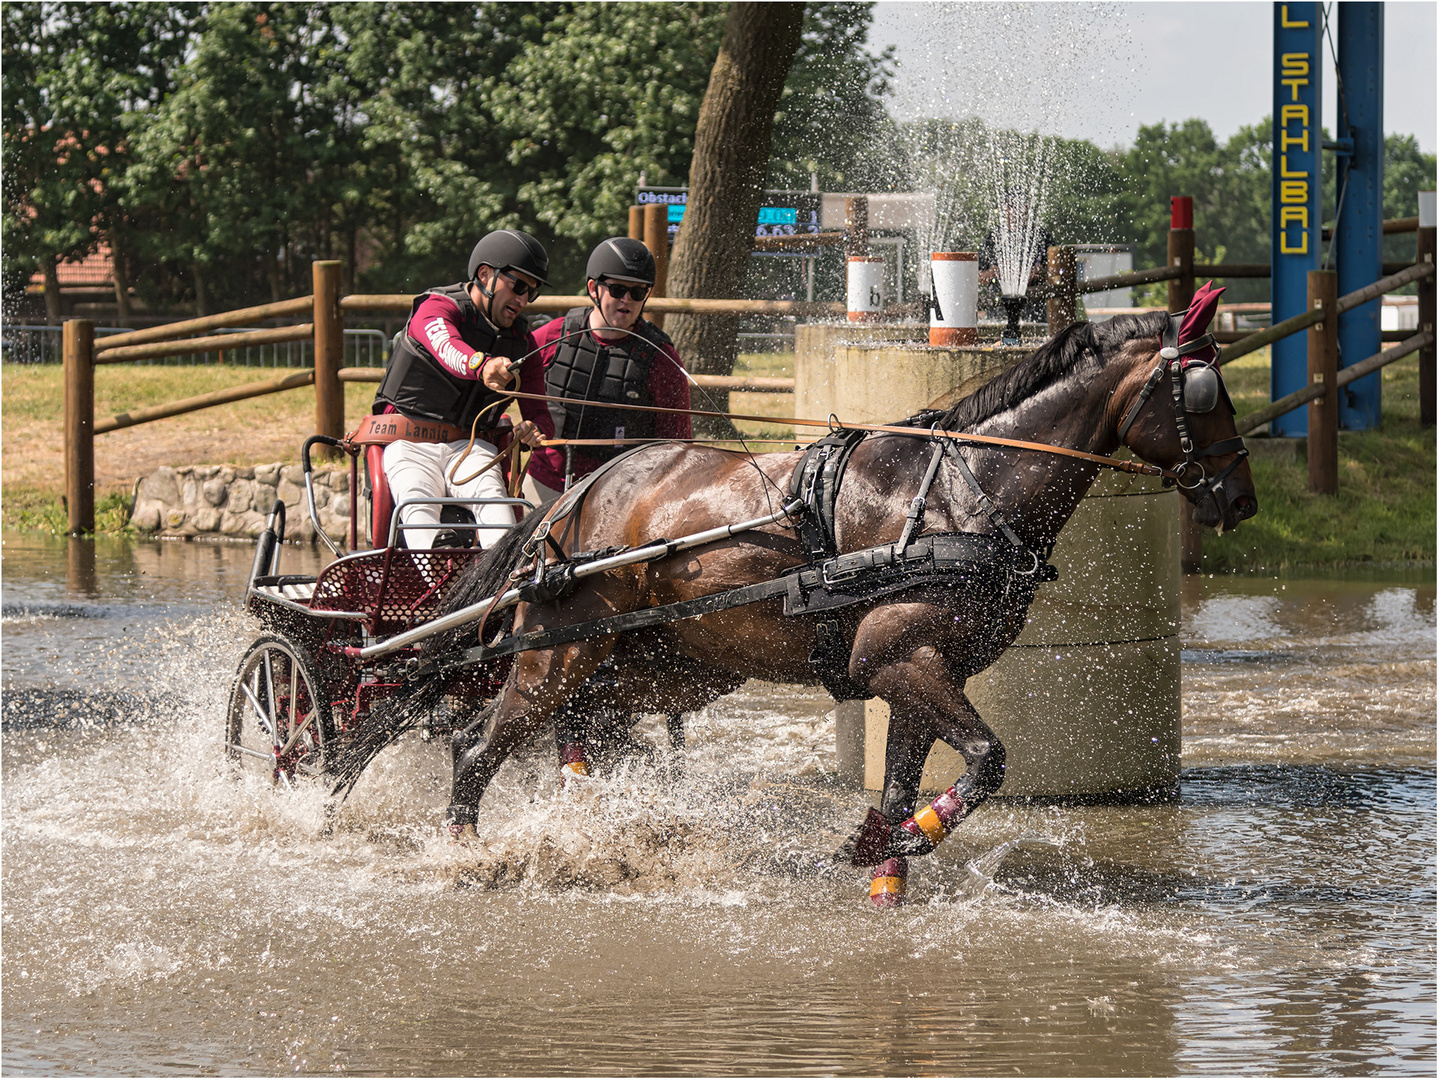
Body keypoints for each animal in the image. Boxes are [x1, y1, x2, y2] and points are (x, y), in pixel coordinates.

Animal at [330, 310, 1254, 903]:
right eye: (1204, 395)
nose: (1239, 497)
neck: (959, 496)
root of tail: (577, 496)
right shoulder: (901, 660)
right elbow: (988, 759)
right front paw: (917, 835)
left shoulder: (915, 672)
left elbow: (900, 783)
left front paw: (886, 863)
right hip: (557, 652)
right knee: (475, 745)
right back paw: (465, 854)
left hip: (656, 666)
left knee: (572, 731)